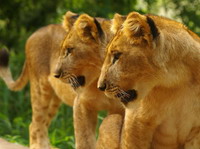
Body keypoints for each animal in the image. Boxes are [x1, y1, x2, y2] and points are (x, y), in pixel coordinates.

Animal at [97, 11, 200, 148]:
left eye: (117, 56)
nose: (100, 87)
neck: (177, 82)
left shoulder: (196, 133)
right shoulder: (136, 124)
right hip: (111, 120)